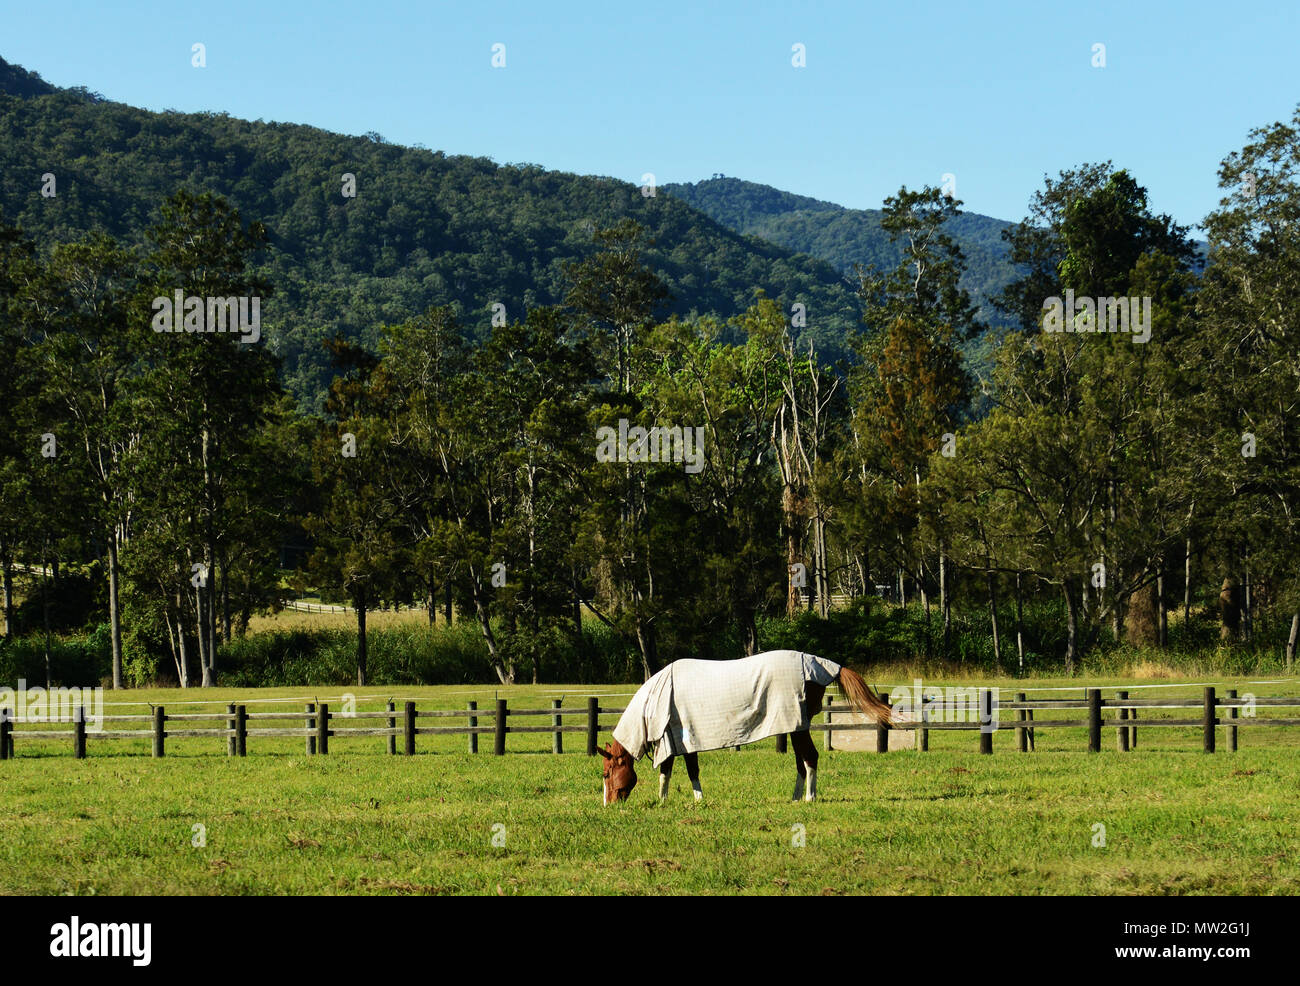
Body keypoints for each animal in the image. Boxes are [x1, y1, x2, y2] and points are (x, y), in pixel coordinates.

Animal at [598, 652, 894, 806]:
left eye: (606, 773)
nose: (609, 804)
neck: (654, 701)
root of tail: (821, 664)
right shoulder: (684, 740)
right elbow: (689, 771)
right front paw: (695, 799)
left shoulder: (673, 738)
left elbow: (669, 772)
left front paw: (665, 802)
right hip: (795, 724)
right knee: (801, 762)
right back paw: (795, 797)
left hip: (798, 727)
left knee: (810, 758)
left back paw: (810, 798)